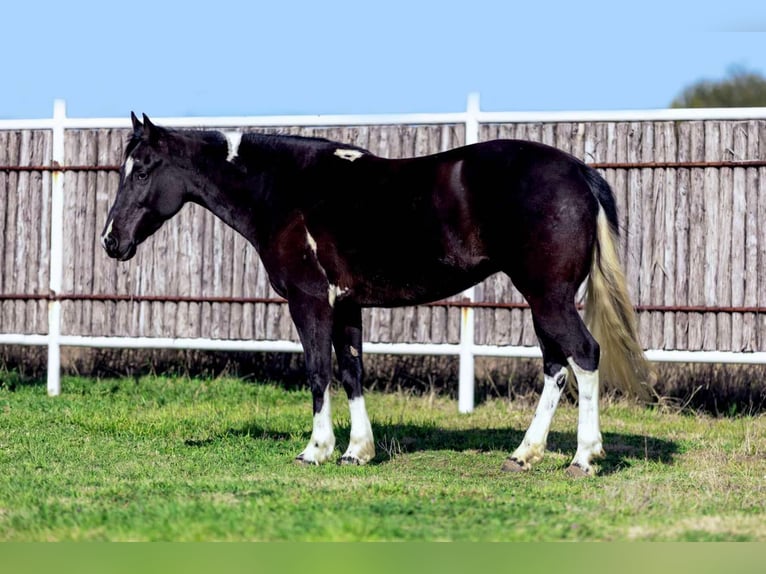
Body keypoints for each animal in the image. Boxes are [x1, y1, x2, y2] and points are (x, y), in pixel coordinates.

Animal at [100, 112, 656, 476]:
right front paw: (357, 451)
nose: (111, 240)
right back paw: (525, 454)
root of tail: (579, 172)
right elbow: (351, 372)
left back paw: (584, 458)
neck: (287, 189)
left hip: (549, 297)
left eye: (143, 170)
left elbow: (318, 371)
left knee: (584, 355)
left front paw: (316, 450)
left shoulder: (309, 301)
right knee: (556, 367)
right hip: (543, 302)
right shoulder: (347, 305)